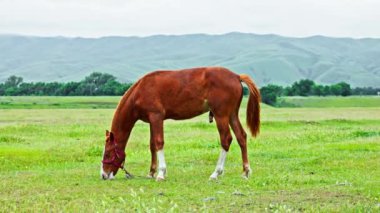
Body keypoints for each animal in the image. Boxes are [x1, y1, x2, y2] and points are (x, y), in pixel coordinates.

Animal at [101, 66, 262, 180]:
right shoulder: (152, 120)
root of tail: (236, 76)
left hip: (220, 115)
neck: (140, 91)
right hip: (232, 115)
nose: (103, 175)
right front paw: (151, 172)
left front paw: (161, 173)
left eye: (108, 154)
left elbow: (159, 142)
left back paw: (216, 173)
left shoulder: (156, 117)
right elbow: (152, 145)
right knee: (241, 137)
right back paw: (246, 171)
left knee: (226, 139)